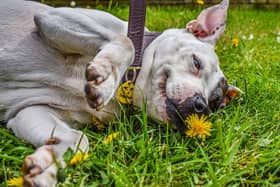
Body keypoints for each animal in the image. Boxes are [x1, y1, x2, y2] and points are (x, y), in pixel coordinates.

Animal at [0, 0, 238, 186]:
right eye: (196, 63)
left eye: (215, 102)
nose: (202, 106)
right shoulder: (54, 17)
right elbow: (126, 41)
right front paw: (106, 76)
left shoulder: (29, 112)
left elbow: (77, 140)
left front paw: (48, 164)